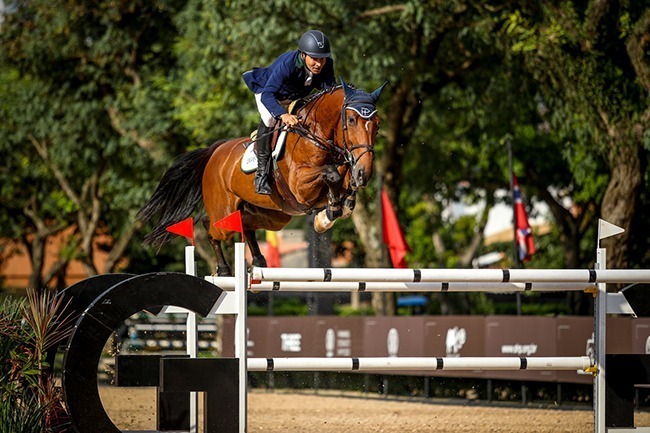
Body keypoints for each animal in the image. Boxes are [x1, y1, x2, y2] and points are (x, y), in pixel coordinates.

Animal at [134, 78, 382, 274]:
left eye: (377, 125)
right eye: (351, 121)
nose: (366, 172)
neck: (316, 134)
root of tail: (215, 152)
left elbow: (345, 181)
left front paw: (339, 205)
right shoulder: (301, 187)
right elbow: (331, 175)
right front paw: (328, 214)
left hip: (273, 215)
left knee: (246, 225)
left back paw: (259, 261)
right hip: (225, 212)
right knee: (210, 225)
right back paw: (223, 270)